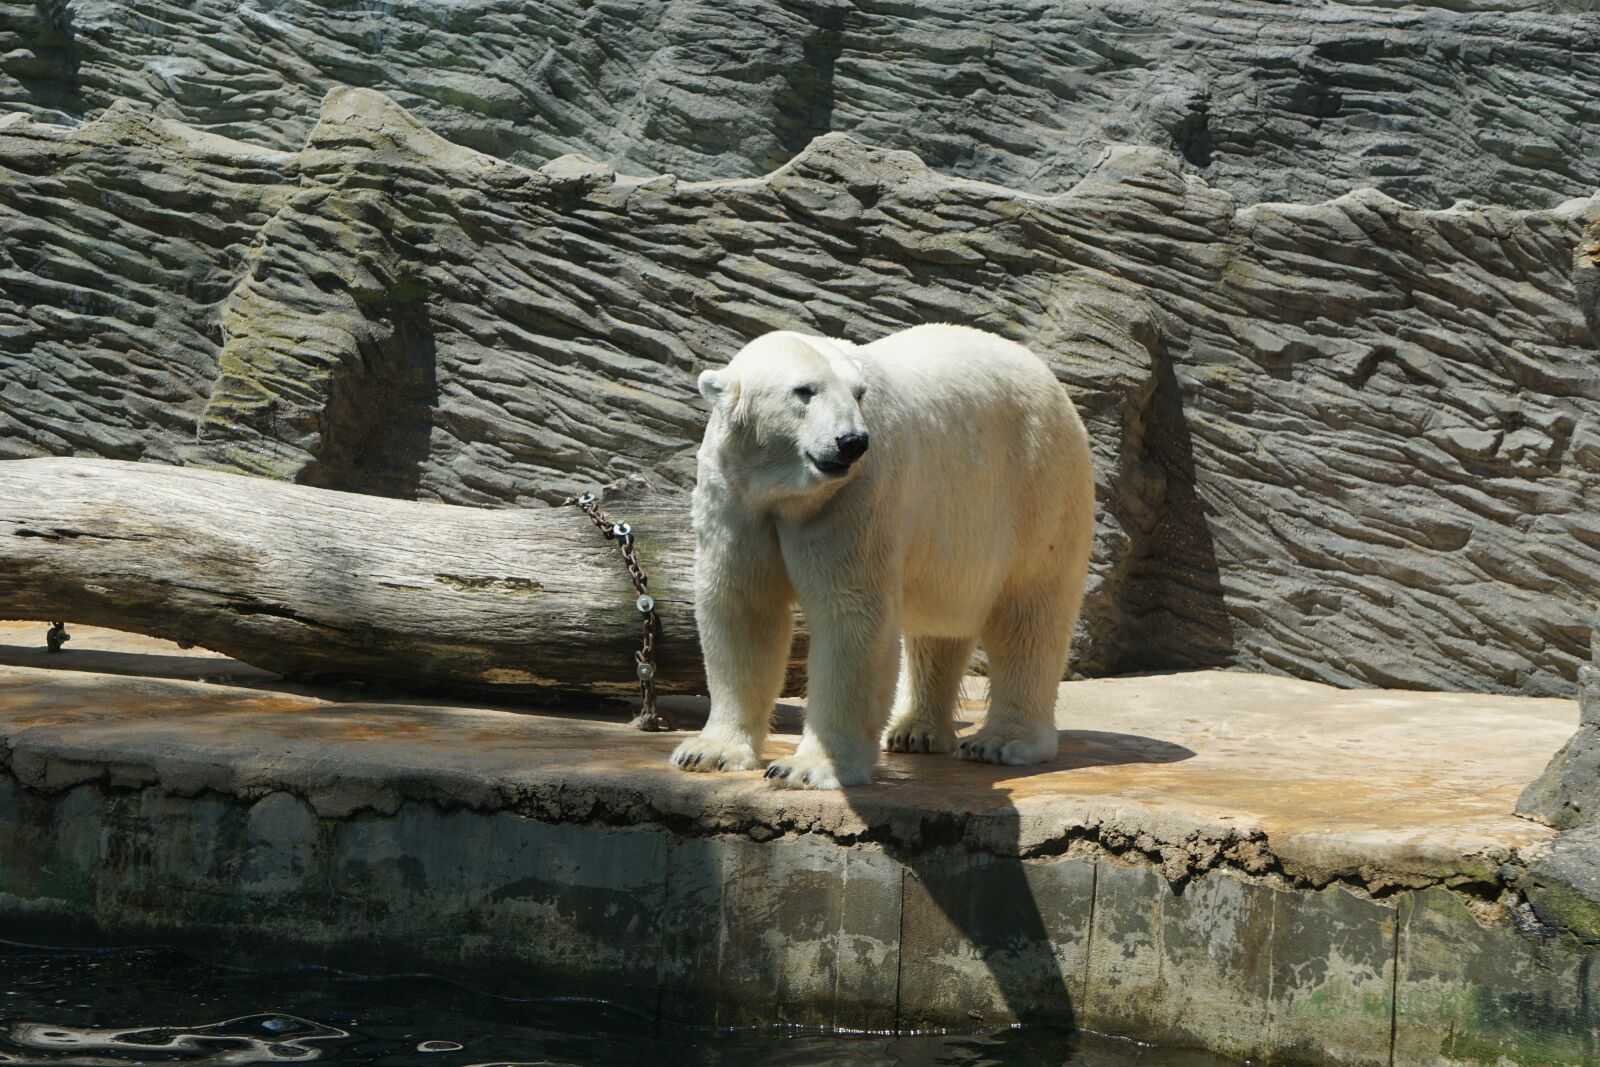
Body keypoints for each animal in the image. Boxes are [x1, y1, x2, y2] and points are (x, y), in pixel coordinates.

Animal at [669, 323, 1095, 790]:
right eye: (804, 390)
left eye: (858, 394)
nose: (851, 442)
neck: (785, 492)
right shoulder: (737, 497)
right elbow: (742, 607)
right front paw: (707, 752)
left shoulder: (854, 496)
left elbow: (850, 613)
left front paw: (809, 767)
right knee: (938, 627)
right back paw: (914, 731)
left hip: (1038, 487)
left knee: (1028, 614)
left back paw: (1000, 742)